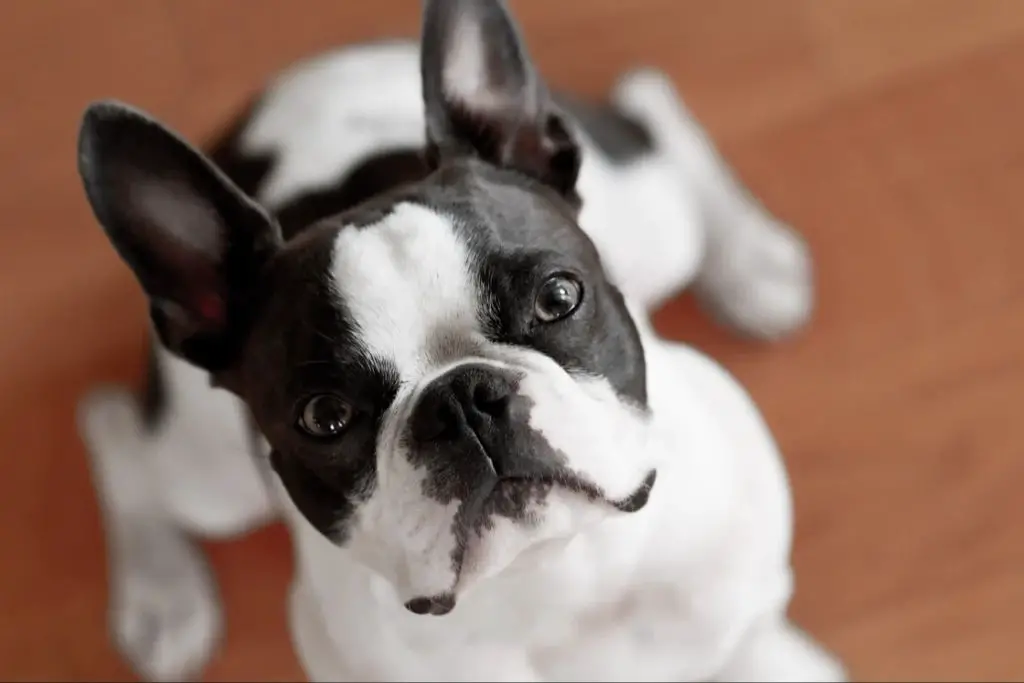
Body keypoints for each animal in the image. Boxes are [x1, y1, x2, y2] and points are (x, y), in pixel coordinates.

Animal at [75, 1, 847, 679]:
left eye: (559, 297)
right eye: (324, 417)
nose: (462, 399)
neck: (554, 574)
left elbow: (747, 638)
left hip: (658, 225)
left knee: (645, 102)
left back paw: (751, 261)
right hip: (212, 482)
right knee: (116, 432)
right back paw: (162, 595)